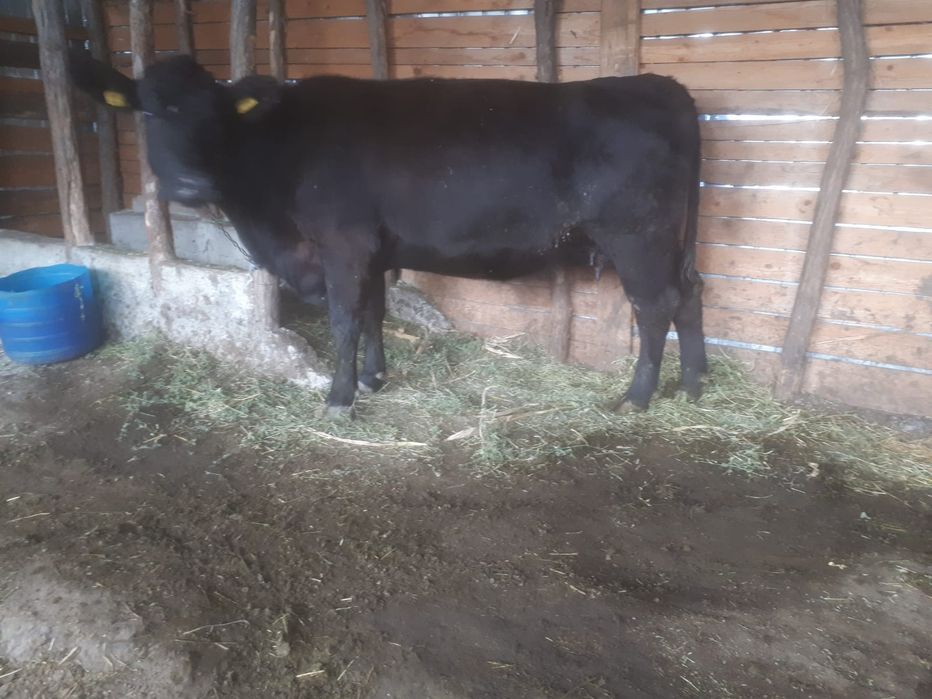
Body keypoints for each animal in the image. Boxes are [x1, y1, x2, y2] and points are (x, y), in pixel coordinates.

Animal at [70, 53, 707, 419]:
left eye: (218, 116)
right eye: (149, 113)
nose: (189, 184)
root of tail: (661, 85)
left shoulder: (342, 243)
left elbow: (344, 318)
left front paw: (339, 397)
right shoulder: (371, 248)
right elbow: (374, 311)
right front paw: (374, 378)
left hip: (637, 234)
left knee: (655, 305)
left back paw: (637, 397)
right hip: (668, 240)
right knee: (690, 293)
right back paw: (694, 384)